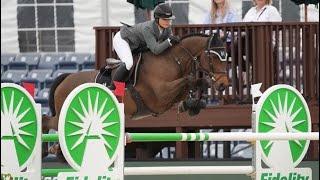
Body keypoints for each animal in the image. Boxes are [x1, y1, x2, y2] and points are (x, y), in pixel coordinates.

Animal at [42, 33, 230, 157]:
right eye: (214, 57)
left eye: (226, 57)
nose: (223, 84)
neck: (172, 61)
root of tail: (66, 77)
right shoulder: (160, 96)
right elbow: (187, 80)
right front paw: (191, 103)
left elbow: (195, 83)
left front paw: (192, 105)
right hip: (66, 115)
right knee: (47, 120)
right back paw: (46, 150)